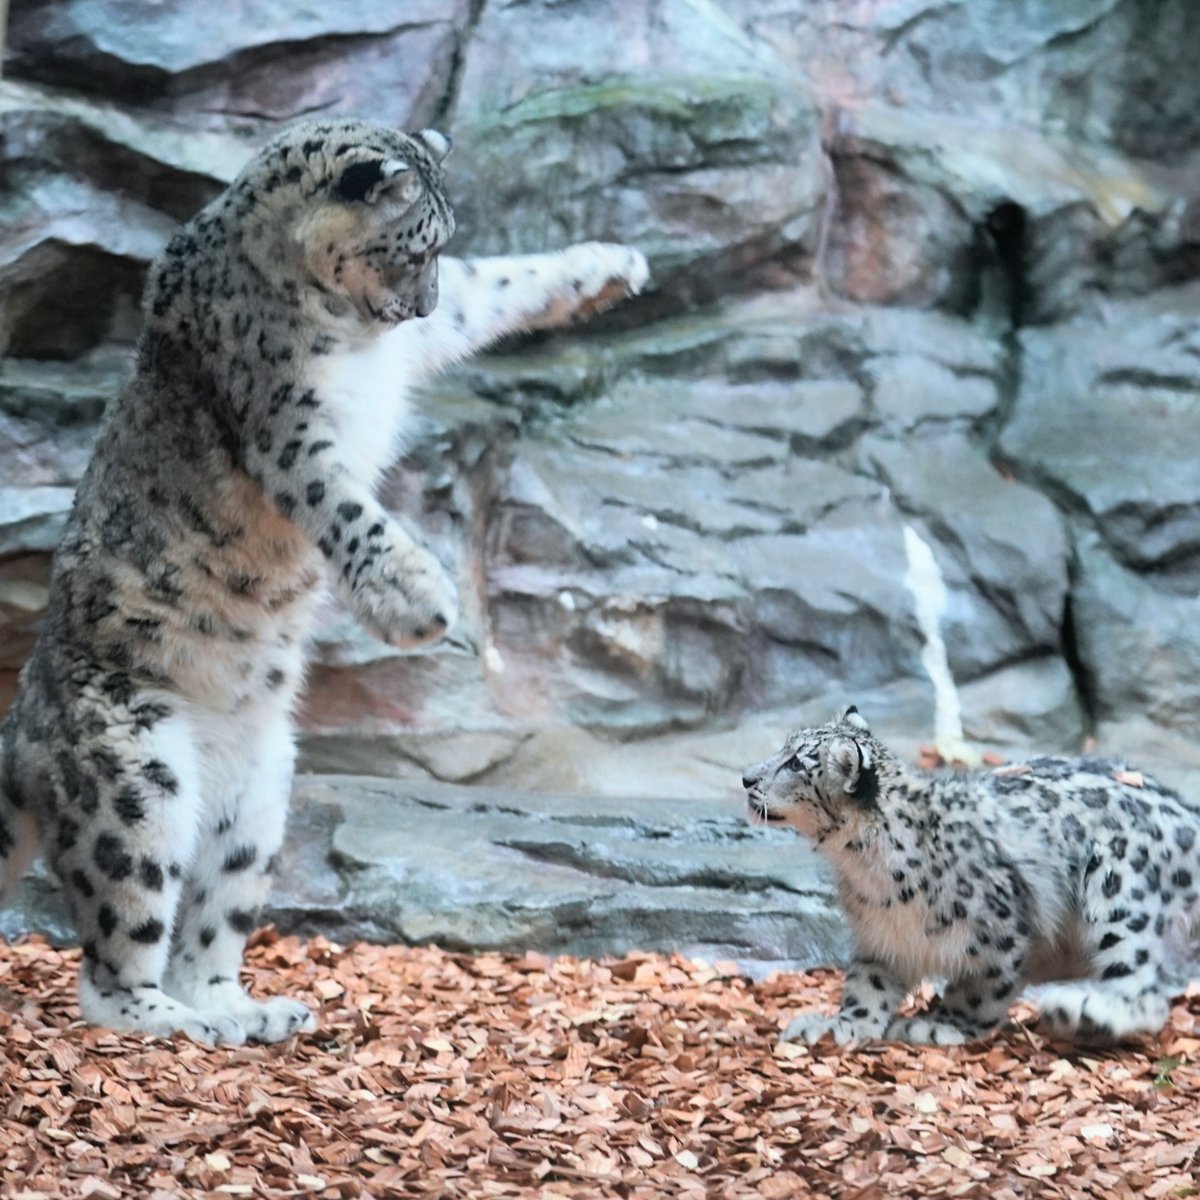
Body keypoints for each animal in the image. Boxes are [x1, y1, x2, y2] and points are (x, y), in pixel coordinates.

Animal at [0, 117, 648, 1046]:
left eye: (443, 248)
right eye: (414, 248)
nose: (419, 305)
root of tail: (21, 728)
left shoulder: (420, 339)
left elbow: (495, 286)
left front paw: (608, 264)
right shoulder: (286, 426)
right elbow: (349, 510)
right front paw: (419, 599)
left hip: (257, 800)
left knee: (212, 911)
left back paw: (248, 1007)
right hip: (134, 777)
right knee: (114, 947)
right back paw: (179, 1019)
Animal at [739, 705, 1200, 1046]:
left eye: (796, 763)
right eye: (786, 748)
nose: (746, 777)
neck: (865, 872)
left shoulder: (1001, 930)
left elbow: (982, 987)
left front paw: (940, 1024)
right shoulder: (881, 936)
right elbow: (868, 985)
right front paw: (842, 1024)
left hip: (1118, 889)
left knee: (1145, 989)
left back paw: (1083, 1012)